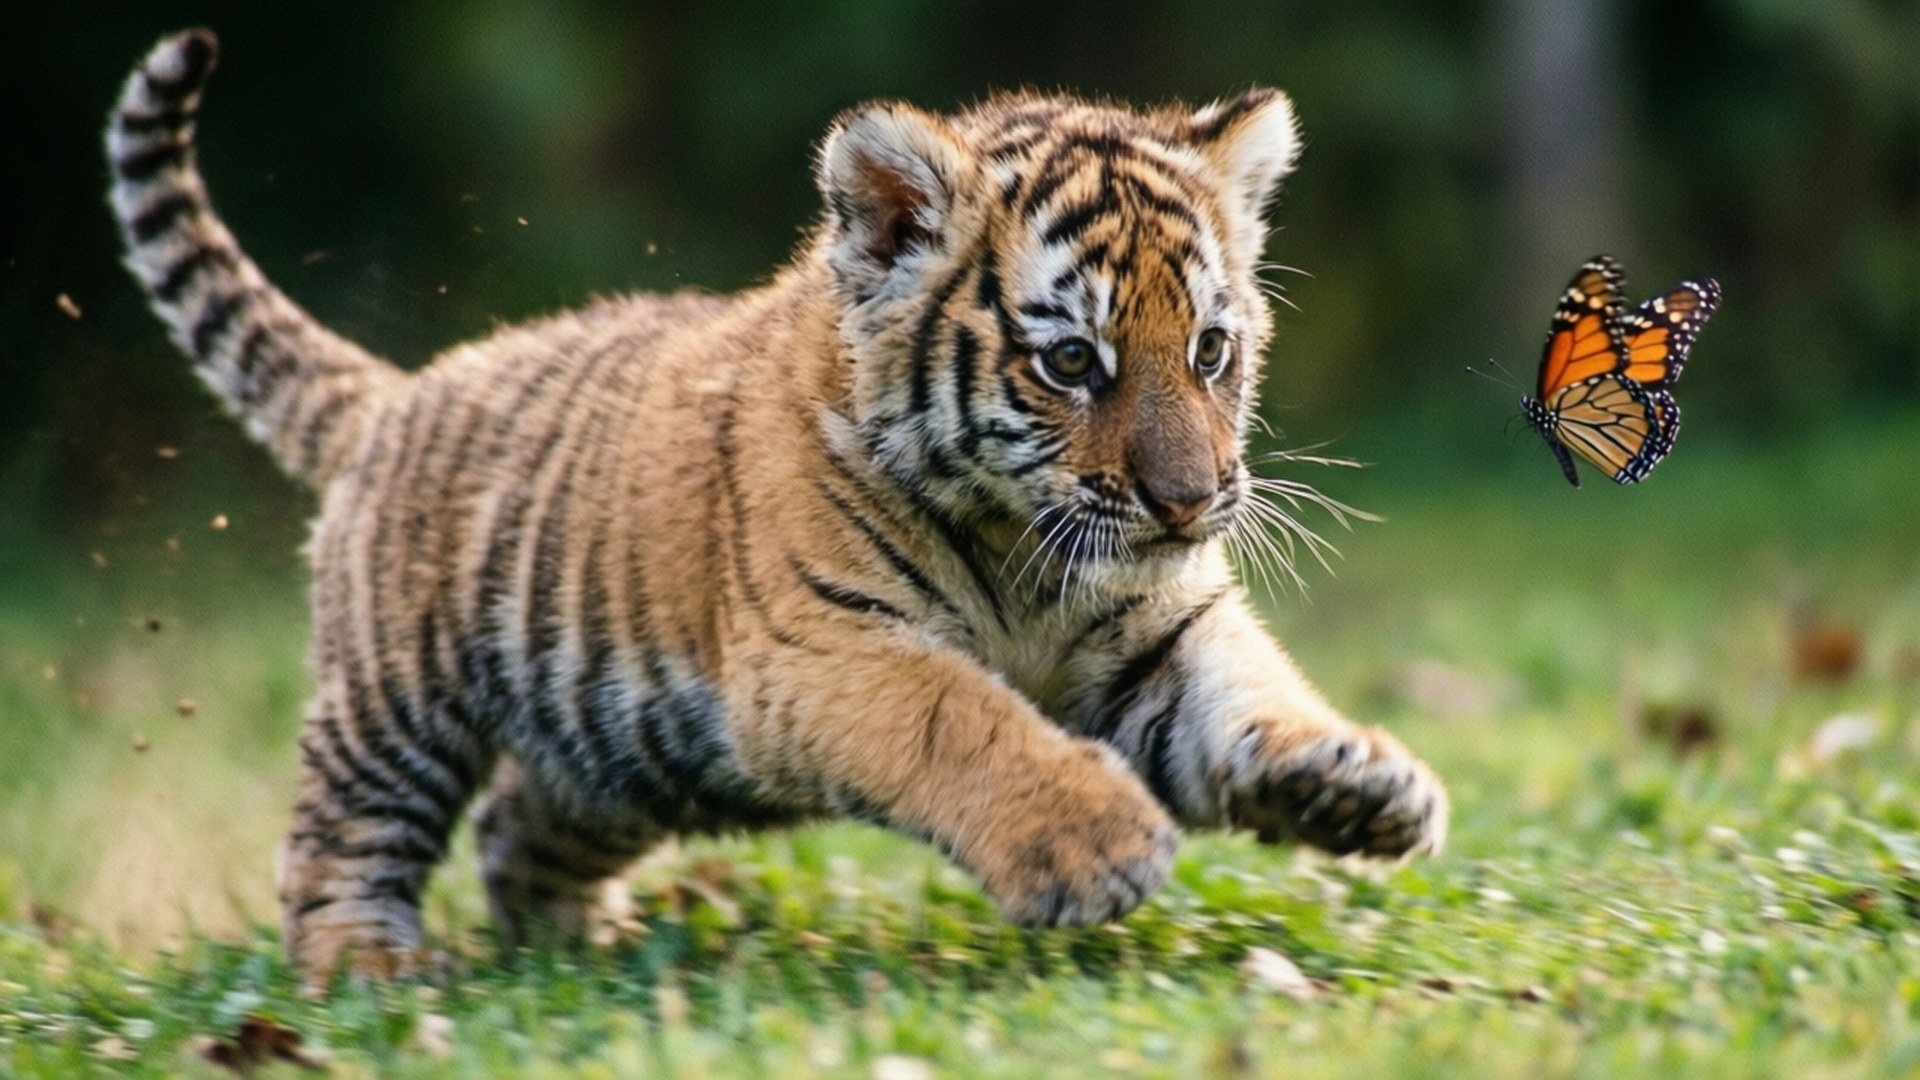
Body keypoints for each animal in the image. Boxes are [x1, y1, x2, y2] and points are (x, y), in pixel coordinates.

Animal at [107, 29, 1448, 979]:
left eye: (1212, 351)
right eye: (1073, 362)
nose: (1191, 502)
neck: (1023, 545)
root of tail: (396, 395)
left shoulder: (1155, 628)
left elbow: (1247, 688)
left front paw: (1357, 782)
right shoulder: (822, 649)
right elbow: (961, 718)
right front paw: (1095, 845)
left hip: (615, 756)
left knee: (514, 827)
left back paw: (584, 948)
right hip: (394, 701)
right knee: (339, 838)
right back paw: (368, 970)